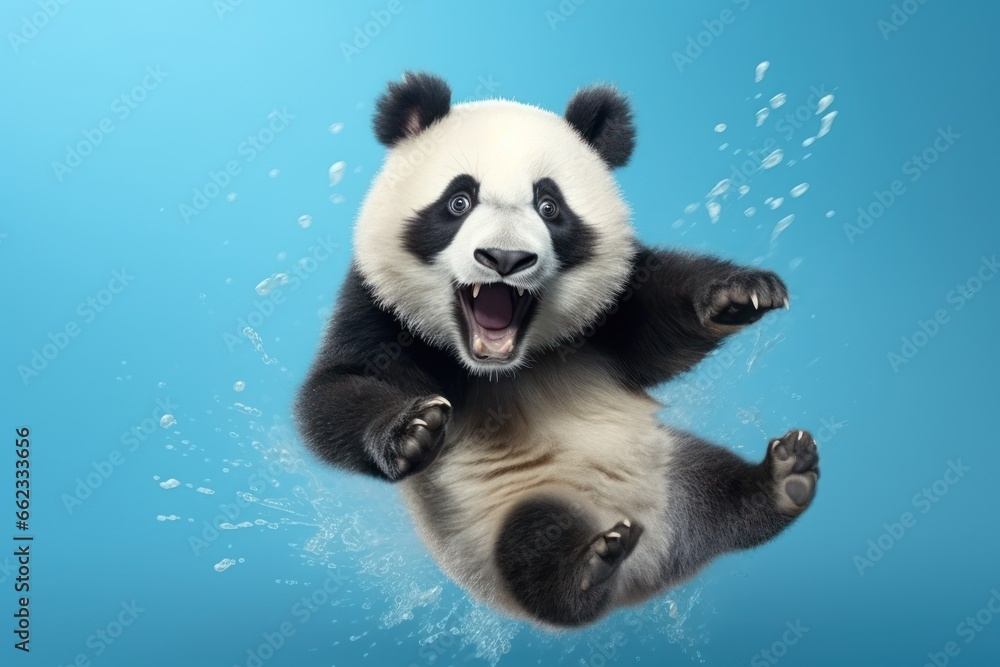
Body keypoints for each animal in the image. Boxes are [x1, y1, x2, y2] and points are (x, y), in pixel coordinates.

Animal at [296, 72, 819, 628]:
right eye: (459, 201)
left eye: (549, 207)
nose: (504, 259)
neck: (504, 366)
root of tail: (651, 568)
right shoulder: (378, 305)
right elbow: (334, 393)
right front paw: (412, 431)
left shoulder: (610, 310)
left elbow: (658, 333)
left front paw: (738, 294)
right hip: (508, 510)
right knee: (531, 552)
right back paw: (591, 565)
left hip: (669, 466)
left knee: (715, 487)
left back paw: (782, 479)